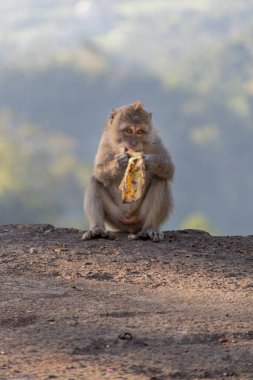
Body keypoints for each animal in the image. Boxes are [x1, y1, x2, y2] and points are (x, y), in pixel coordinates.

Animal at [82, 99, 174, 242]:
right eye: (129, 130)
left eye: (140, 132)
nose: (134, 143)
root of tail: (130, 223)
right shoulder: (106, 140)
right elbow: (98, 171)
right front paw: (119, 163)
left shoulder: (155, 140)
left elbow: (169, 168)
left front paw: (149, 161)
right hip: (116, 217)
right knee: (95, 180)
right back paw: (97, 229)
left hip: (140, 217)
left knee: (160, 179)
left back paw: (150, 228)